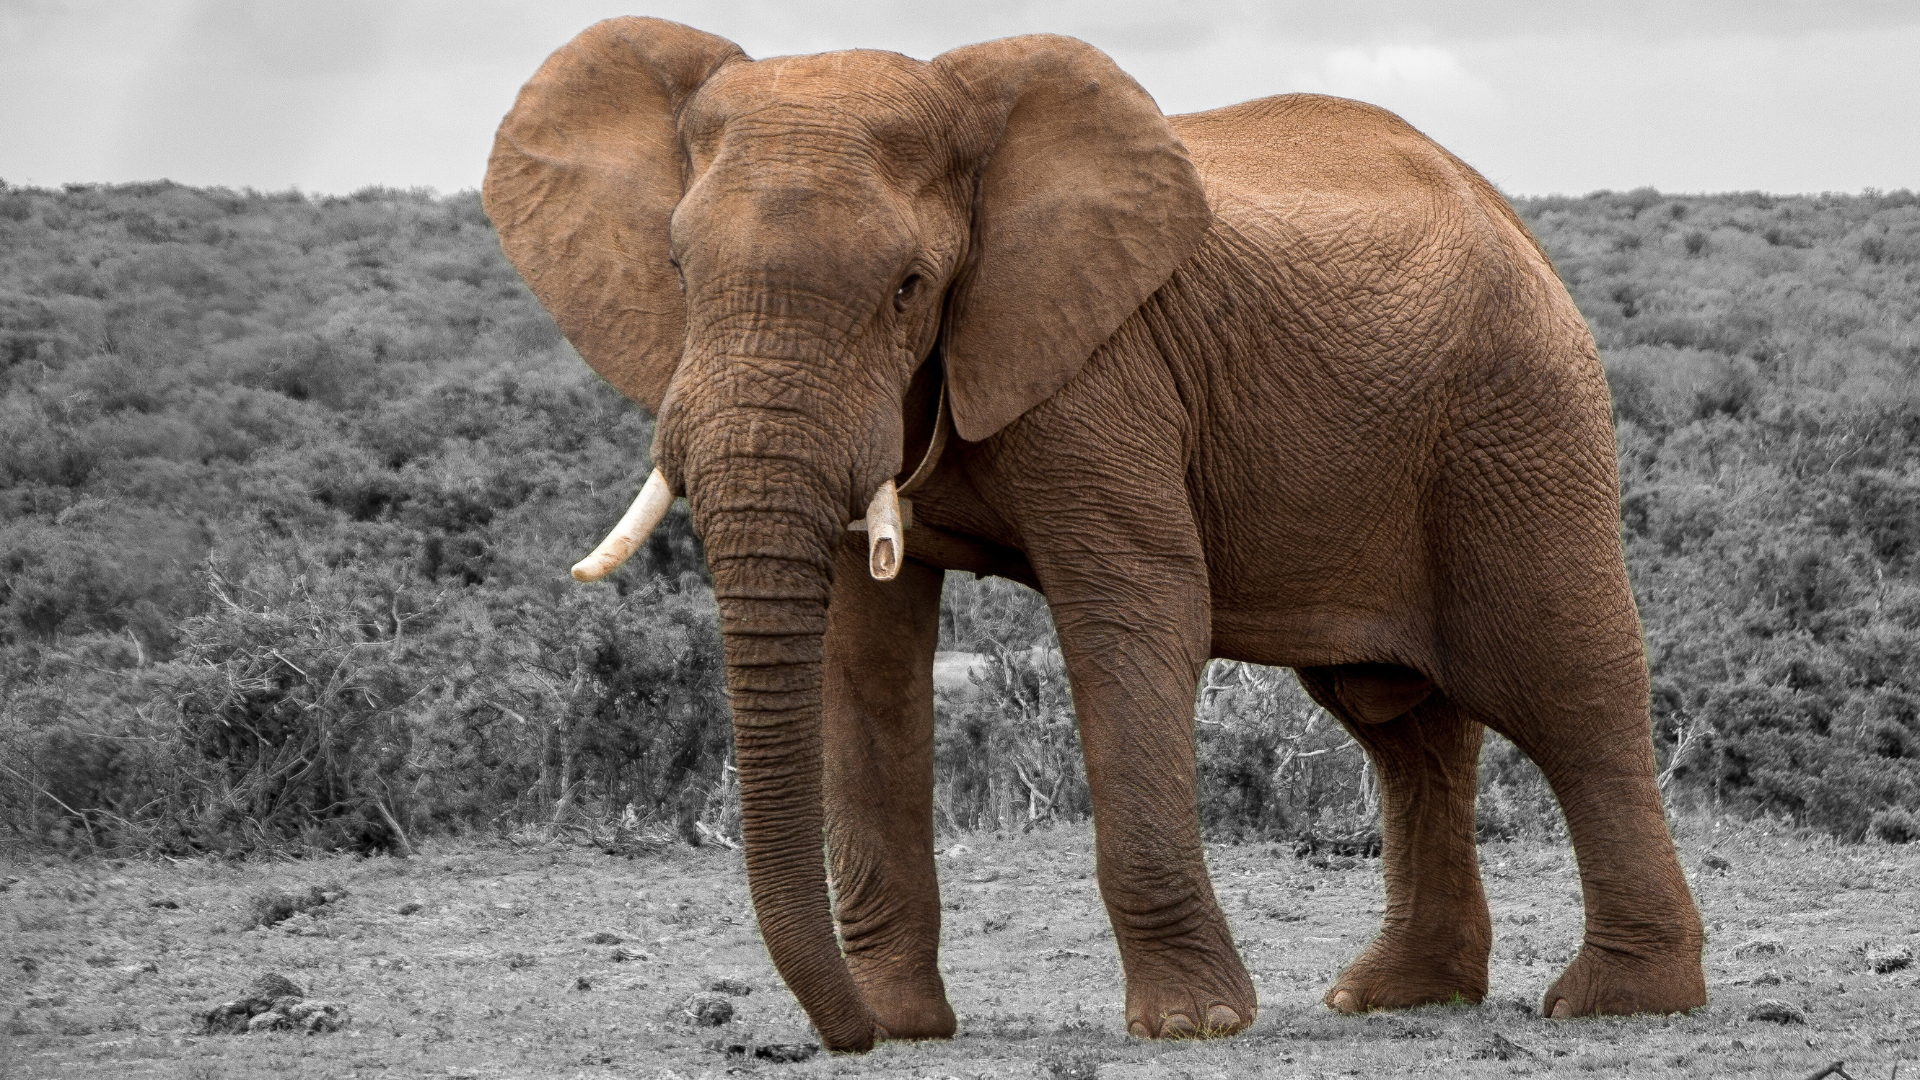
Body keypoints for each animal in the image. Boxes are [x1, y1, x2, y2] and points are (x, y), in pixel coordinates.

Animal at [482, 17, 1708, 1052]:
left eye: (910, 286)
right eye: (677, 271)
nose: (842, 1037)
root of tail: (1511, 215)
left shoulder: (1103, 368)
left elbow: (1137, 608)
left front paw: (1193, 1026)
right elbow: (862, 653)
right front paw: (903, 1024)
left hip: (1518, 415)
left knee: (1566, 684)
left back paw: (1620, 1003)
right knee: (1400, 723)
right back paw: (1396, 997)